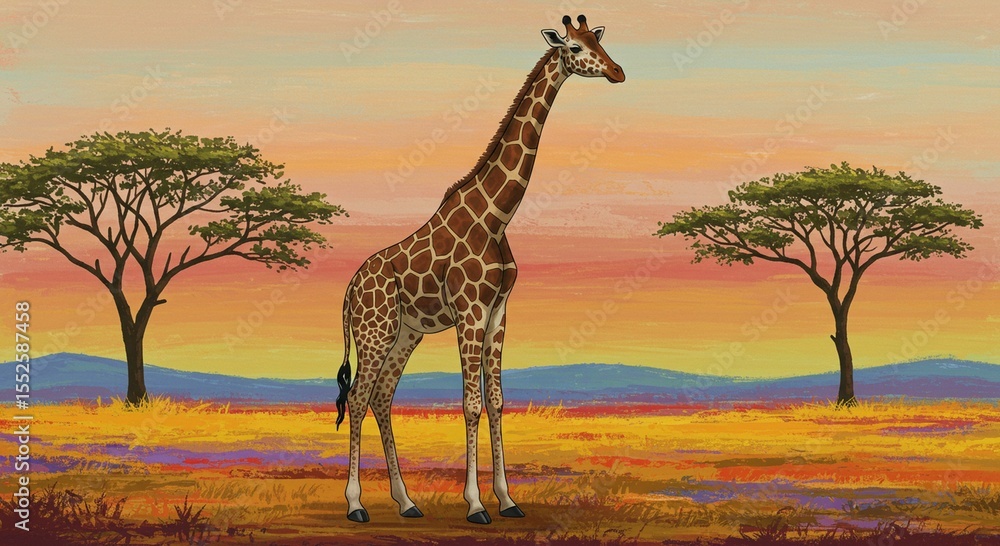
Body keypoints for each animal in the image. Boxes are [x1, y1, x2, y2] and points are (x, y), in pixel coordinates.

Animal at [335, 14, 625, 524]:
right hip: (374, 333)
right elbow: (470, 404)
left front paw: (508, 500)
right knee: (357, 396)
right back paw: (356, 505)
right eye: (573, 46)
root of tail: (349, 290)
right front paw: (475, 505)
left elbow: (497, 402)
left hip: (405, 333)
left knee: (381, 396)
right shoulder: (470, 311)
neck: (497, 216)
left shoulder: (499, 312)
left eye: (598, 40)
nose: (617, 71)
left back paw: (407, 502)